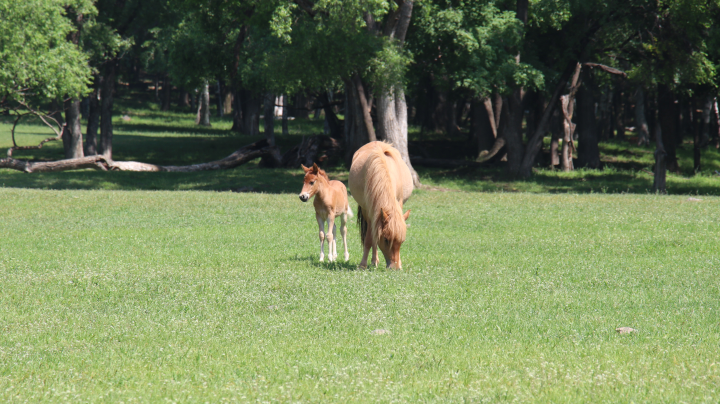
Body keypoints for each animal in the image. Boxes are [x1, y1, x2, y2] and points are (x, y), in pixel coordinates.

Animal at [348, 140, 410, 270]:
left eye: (402, 241)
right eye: (386, 240)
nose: (395, 268)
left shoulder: (398, 204)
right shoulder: (369, 211)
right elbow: (369, 239)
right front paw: (363, 264)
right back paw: (374, 261)